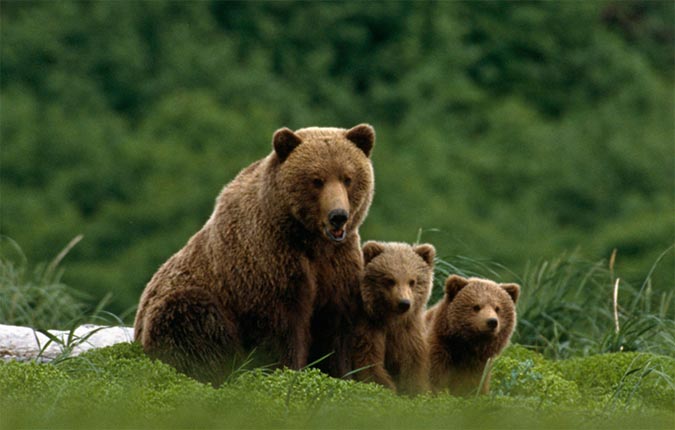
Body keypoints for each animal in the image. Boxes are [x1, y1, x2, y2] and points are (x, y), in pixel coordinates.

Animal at [134, 124, 376, 385]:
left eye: (347, 178)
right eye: (316, 180)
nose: (338, 215)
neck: (308, 239)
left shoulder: (337, 266)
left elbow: (334, 329)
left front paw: (341, 375)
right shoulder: (268, 261)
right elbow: (280, 328)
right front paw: (285, 371)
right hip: (178, 307)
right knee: (192, 319)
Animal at [351, 241, 435, 395]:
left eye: (412, 281)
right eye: (390, 280)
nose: (404, 303)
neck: (392, 320)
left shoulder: (408, 332)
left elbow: (413, 365)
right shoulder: (369, 327)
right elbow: (369, 362)